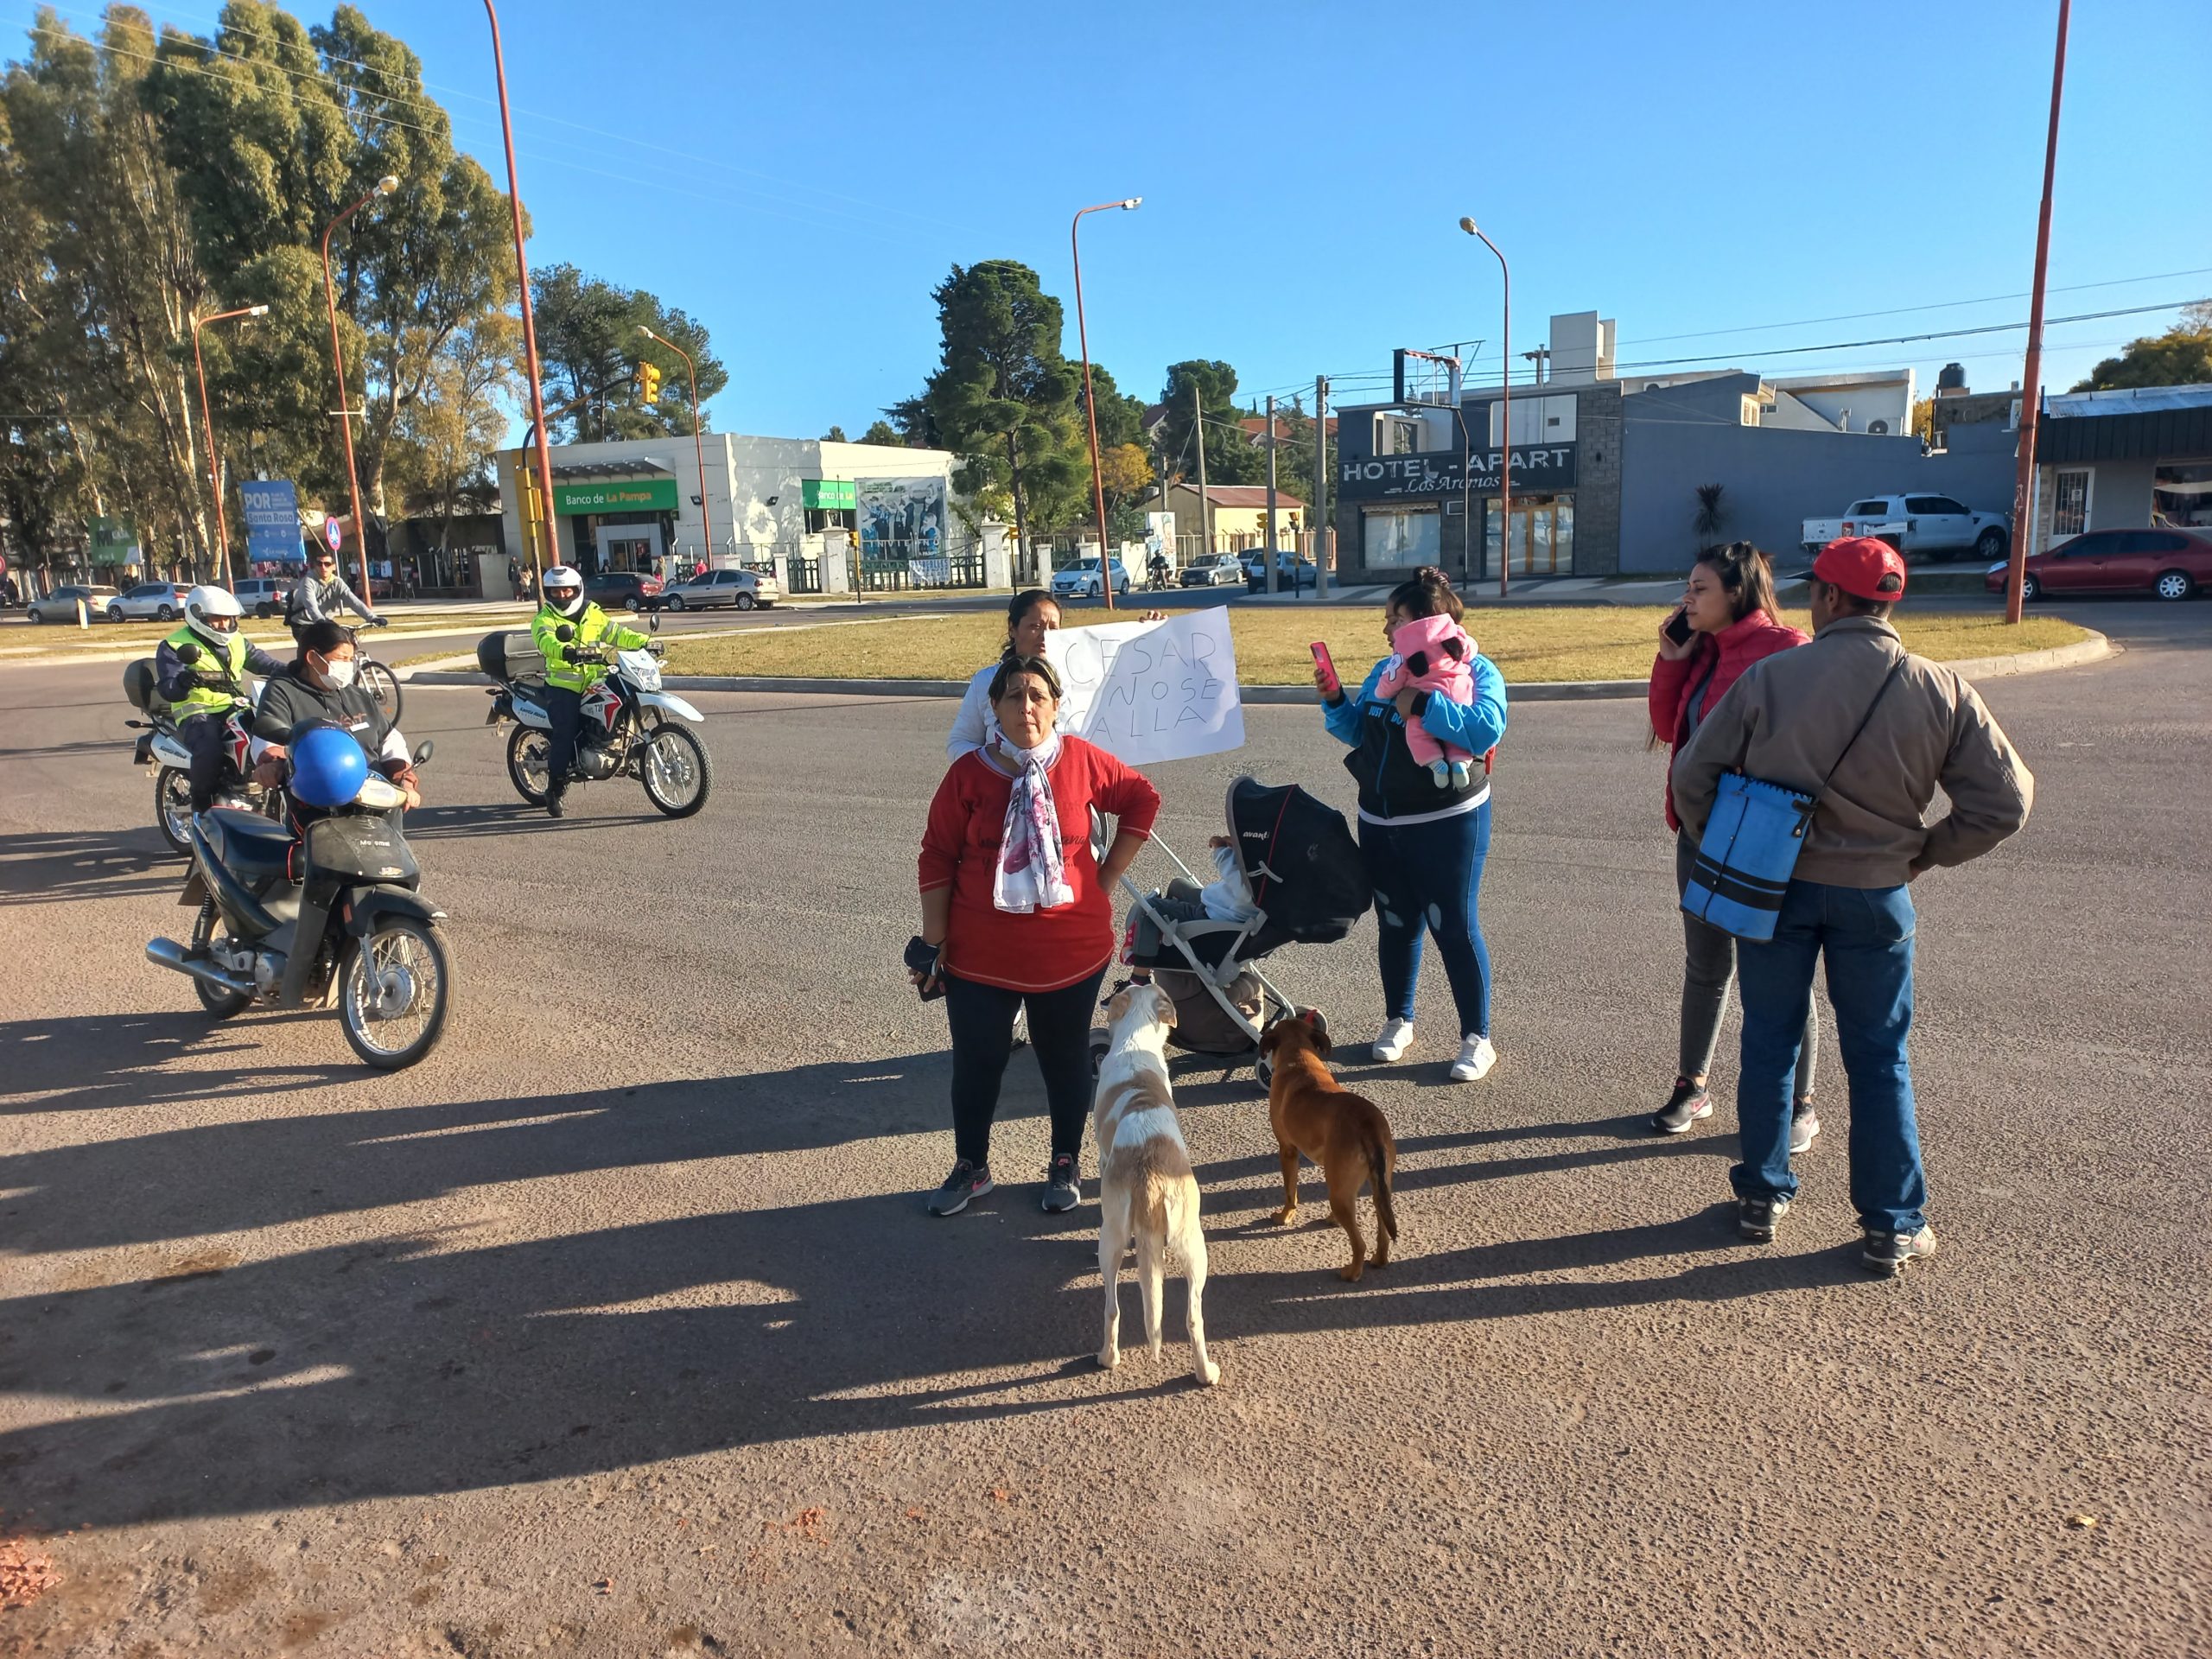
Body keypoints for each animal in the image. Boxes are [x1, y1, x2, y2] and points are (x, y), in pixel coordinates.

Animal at [1092, 986, 1221, 1389]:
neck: (1135, 1039)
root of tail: (1148, 1170)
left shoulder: (1101, 1156)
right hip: (1193, 1247)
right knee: (1191, 1317)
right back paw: (1204, 1373)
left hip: (1113, 1239)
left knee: (1112, 1307)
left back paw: (1108, 1358)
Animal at [1265, 1013, 1397, 1282]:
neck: (1299, 1060)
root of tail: (1367, 1124)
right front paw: (1332, 1221)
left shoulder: (1287, 1150)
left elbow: (1290, 1192)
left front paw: (1284, 1217)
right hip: (1378, 1187)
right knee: (1382, 1230)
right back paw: (1378, 1260)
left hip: (1338, 1193)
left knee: (1359, 1243)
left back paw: (1351, 1273)